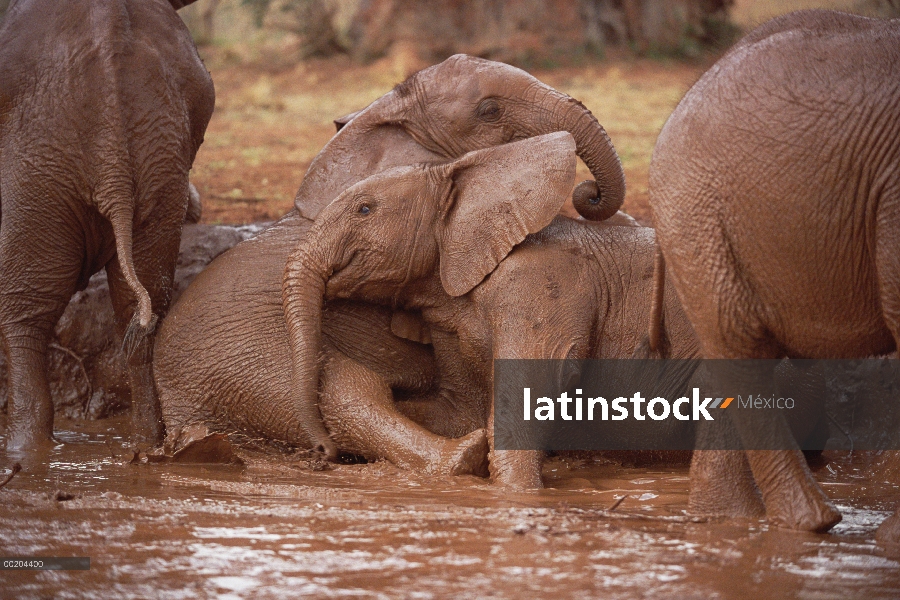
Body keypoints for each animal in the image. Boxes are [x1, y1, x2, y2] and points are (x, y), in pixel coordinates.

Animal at [0, 0, 214, 450]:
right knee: (144, 302)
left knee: (24, 309)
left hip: (40, 166)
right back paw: (149, 444)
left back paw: (25, 449)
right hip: (158, 161)